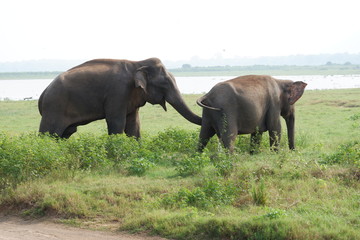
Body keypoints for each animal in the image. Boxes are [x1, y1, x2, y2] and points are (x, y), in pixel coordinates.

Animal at [39, 57, 202, 138]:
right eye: (165, 83)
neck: (137, 63)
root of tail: (43, 94)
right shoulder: (118, 92)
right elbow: (117, 122)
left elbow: (134, 125)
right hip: (54, 108)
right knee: (48, 134)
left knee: (65, 134)